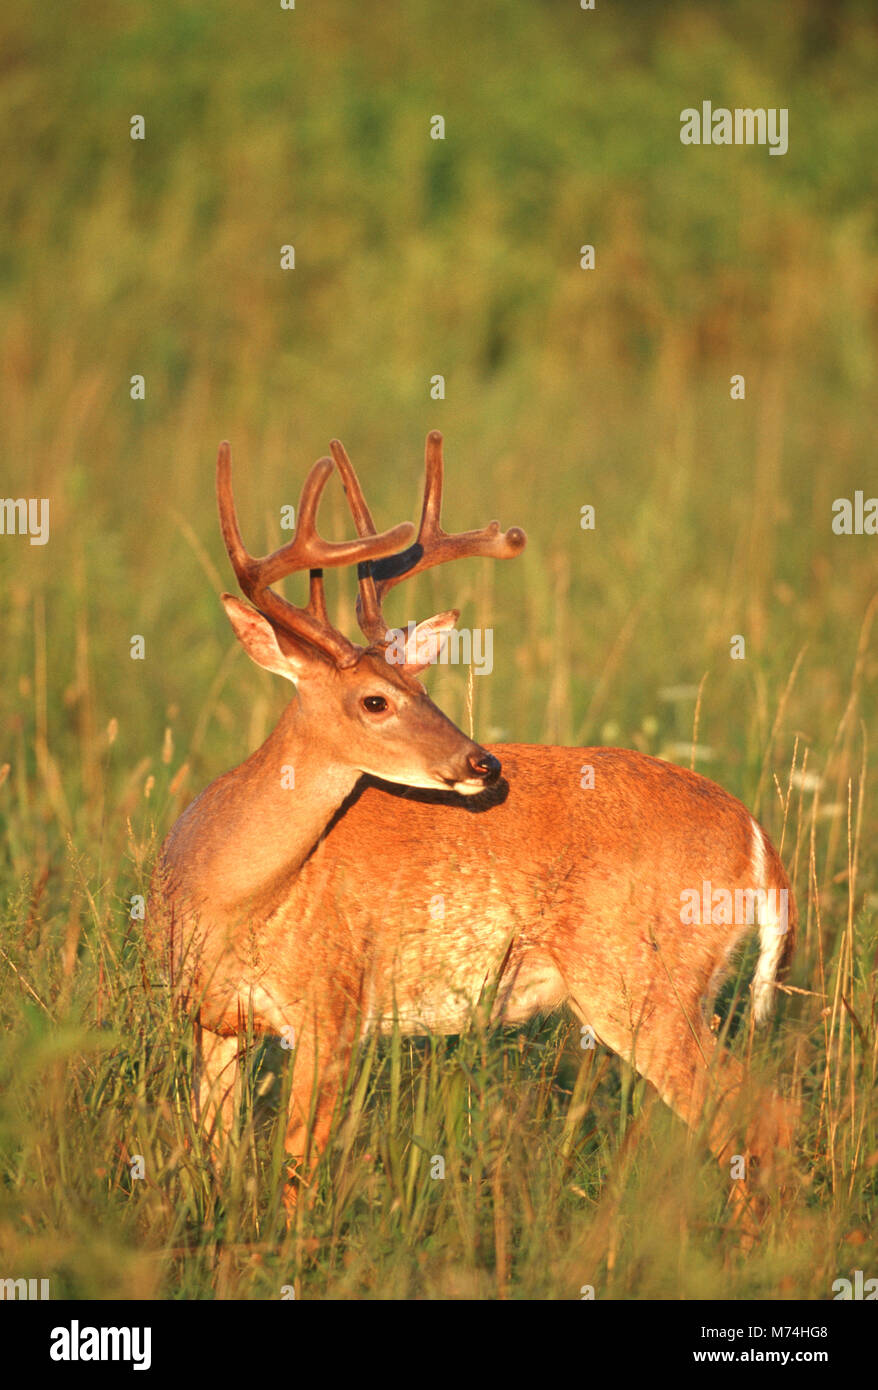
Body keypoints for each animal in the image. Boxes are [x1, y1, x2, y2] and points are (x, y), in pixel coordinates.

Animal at [150, 428, 794, 1212]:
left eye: (422, 686)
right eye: (376, 700)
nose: (482, 762)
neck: (226, 891)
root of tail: (757, 842)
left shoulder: (333, 1008)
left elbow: (299, 1170)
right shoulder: (212, 1020)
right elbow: (213, 1155)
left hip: (643, 981)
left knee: (755, 1114)